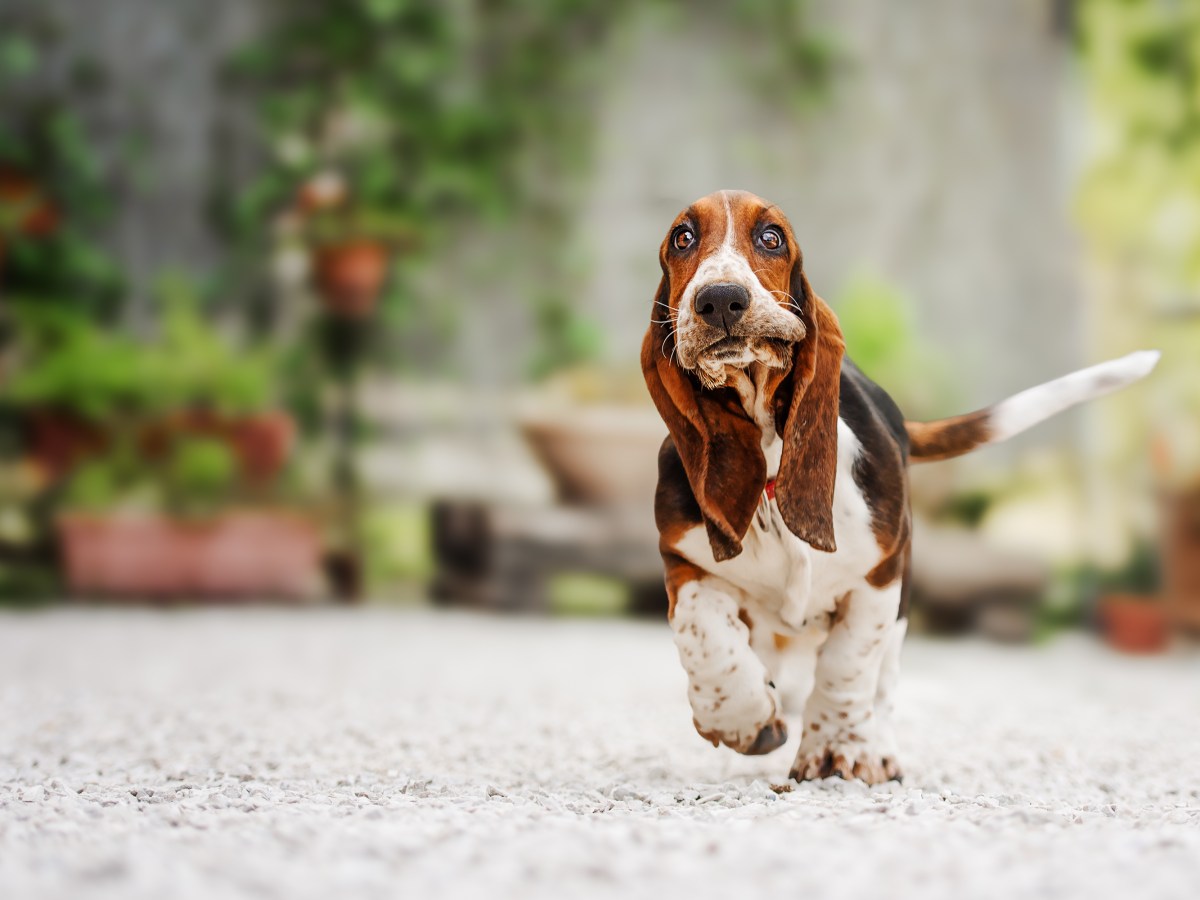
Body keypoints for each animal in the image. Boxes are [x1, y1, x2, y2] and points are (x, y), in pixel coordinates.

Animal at [643, 188, 1156, 782]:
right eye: (682, 238)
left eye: (770, 238)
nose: (720, 299)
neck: (770, 469)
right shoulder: (685, 561)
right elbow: (704, 635)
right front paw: (740, 719)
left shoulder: (881, 576)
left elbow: (848, 665)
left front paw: (837, 747)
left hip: (901, 604)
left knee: (881, 681)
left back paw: (874, 746)